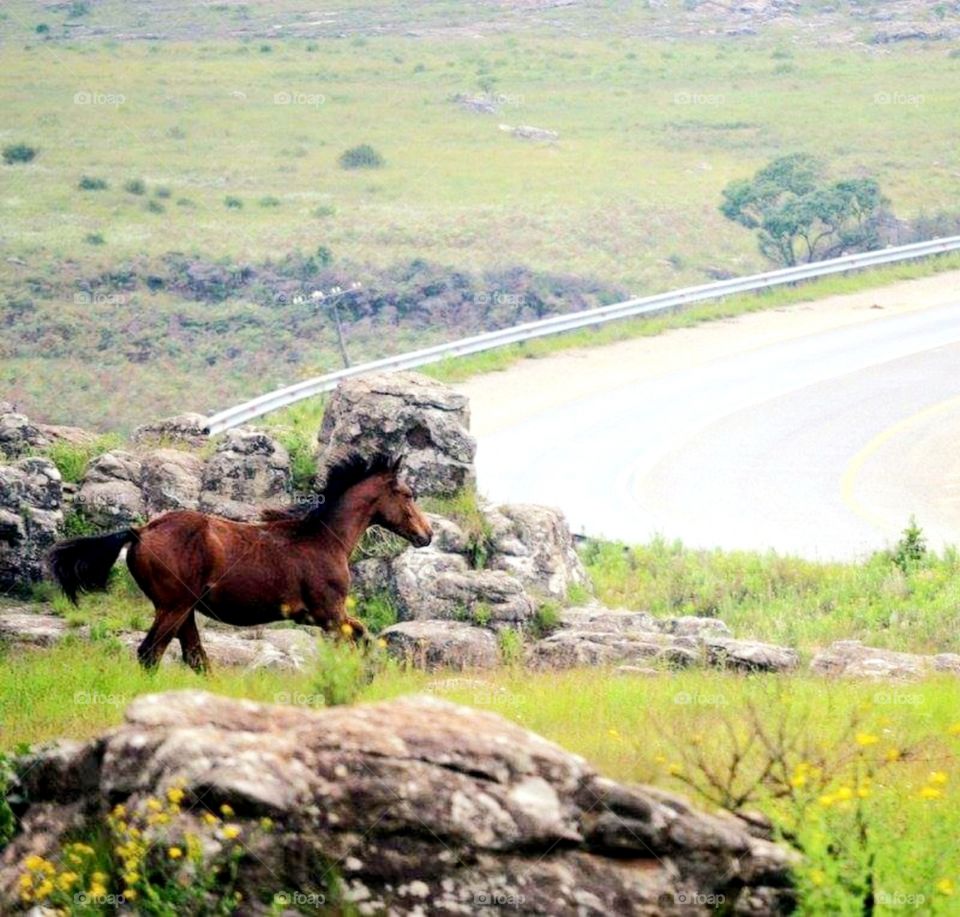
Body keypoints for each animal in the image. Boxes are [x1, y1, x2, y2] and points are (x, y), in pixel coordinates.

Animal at [48, 453, 433, 672]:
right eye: (407, 494)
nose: (426, 534)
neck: (324, 540)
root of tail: (140, 532)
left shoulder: (324, 617)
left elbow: (364, 638)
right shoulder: (329, 615)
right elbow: (362, 639)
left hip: (183, 610)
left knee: (195, 658)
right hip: (174, 607)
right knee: (150, 654)